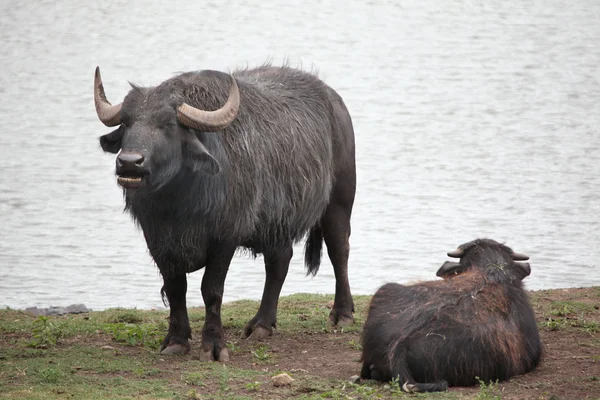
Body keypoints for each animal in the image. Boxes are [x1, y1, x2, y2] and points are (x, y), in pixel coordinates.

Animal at [94, 65, 356, 360]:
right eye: (127, 122)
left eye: (168, 124)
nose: (130, 162)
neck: (177, 203)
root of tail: (336, 103)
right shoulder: (157, 238)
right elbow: (175, 288)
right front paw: (176, 341)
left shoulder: (225, 237)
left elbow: (211, 289)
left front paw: (213, 345)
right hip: (276, 223)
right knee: (279, 262)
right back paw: (262, 324)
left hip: (339, 202)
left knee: (338, 251)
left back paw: (342, 314)